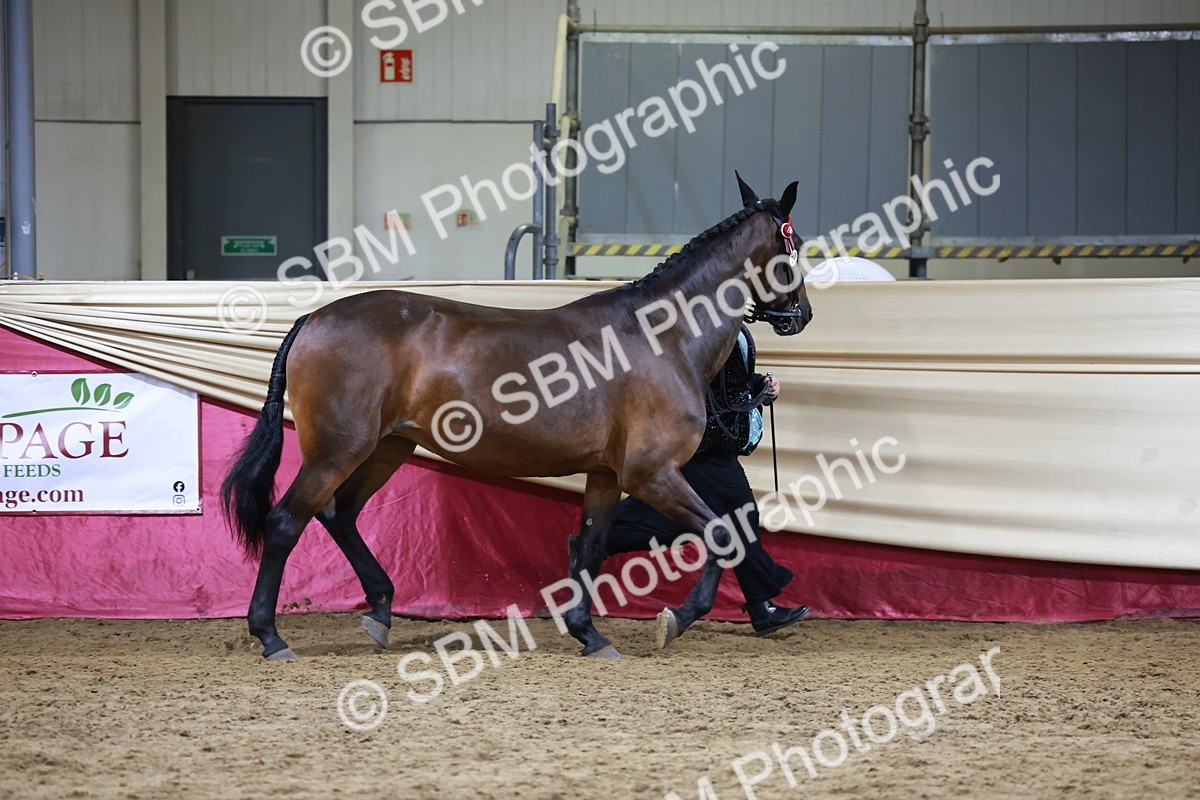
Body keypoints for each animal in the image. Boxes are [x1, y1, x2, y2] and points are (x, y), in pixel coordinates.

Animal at [221, 173, 813, 660]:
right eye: (795, 245)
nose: (801, 315)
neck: (663, 336)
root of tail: (313, 318)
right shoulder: (652, 473)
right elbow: (723, 533)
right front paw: (677, 618)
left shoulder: (606, 474)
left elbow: (591, 546)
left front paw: (589, 633)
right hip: (338, 449)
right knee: (286, 522)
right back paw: (270, 636)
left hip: (388, 447)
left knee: (339, 515)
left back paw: (381, 611)